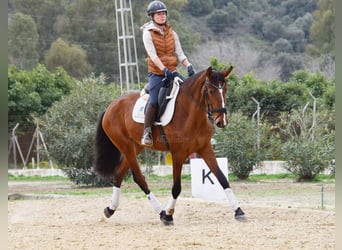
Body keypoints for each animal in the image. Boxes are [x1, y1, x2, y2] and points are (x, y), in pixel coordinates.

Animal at [93, 66, 247, 225]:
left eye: (225, 90)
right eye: (210, 91)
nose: (221, 122)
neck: (191, 114)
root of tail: (110, 107)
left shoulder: (205, 149)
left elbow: (222, 179)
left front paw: (239, 211)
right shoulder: (178, 154)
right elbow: (176, 187)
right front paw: (168, 215)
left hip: (136, 147)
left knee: (119, 173)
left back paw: (110, 209)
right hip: (125, 146)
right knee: (139, 178)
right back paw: (161, 211)